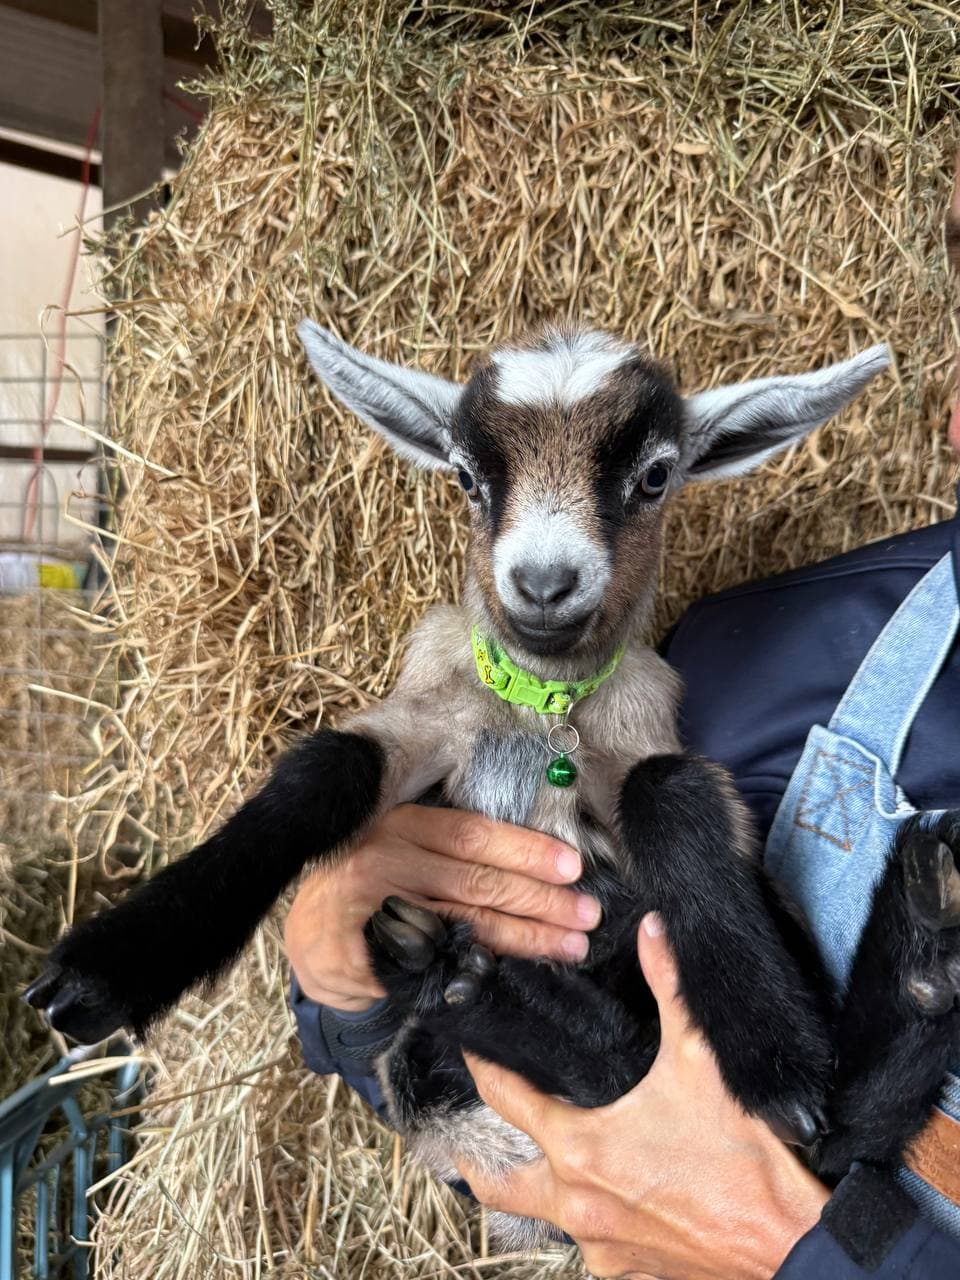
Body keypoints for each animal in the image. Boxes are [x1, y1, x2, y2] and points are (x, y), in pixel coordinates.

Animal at [26, 323, 960, 1249]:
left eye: (655, 475)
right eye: (468, 477)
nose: (544, 584)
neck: (539, 713)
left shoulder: (642, 743)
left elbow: (671, 792)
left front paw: (774, 1058)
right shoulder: (429, 724)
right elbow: (327, 768)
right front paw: (108, 969)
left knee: (813, 1133)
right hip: (430, 1075)